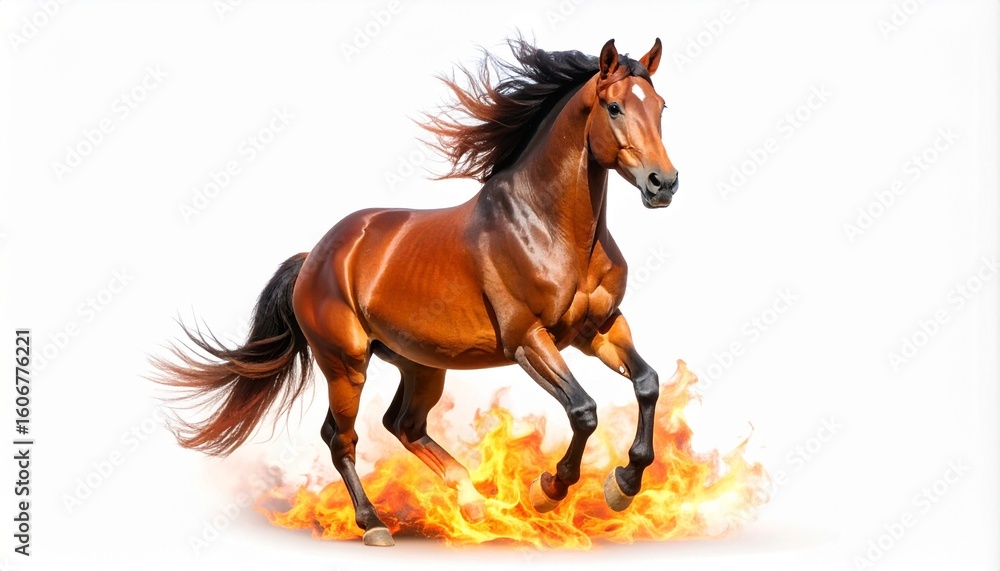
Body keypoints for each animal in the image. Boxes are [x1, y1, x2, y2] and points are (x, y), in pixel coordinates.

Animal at [154, 37, 678, 547]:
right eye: (614, 107)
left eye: (661, 106)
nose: (664, 183)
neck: (549, 228)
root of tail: (316, 255)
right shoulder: (528, 339)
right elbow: (583, 410)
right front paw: (548, 489)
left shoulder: (600, 329)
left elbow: (647, 384)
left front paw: (623, 484)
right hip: (346, 365)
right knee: (341, 438)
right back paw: (374, 524)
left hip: (422, 364)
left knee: (403, 426)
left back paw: (470, 500)